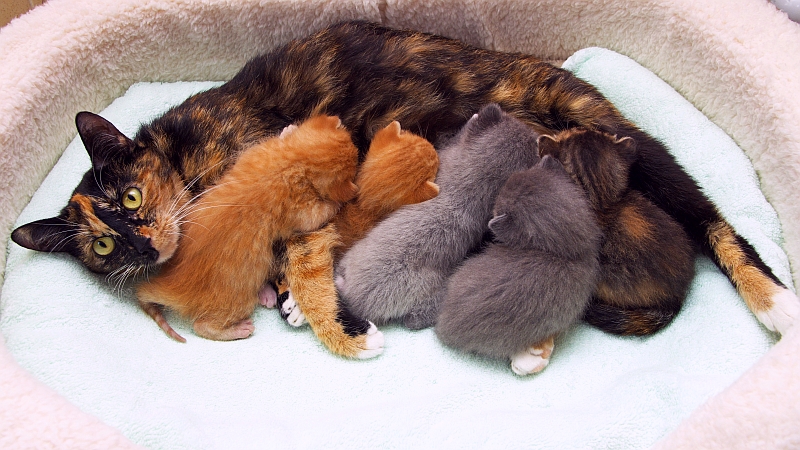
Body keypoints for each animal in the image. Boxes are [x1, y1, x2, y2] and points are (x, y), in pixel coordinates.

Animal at [138, 115, 360, 342]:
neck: (292, 164)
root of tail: (169, 285)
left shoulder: (253, 152)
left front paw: (288, 131)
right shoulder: (302, 213)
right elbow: (319, 215)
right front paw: (338, 202)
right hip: (236, 300)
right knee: (201, 326)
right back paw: (237, 329)